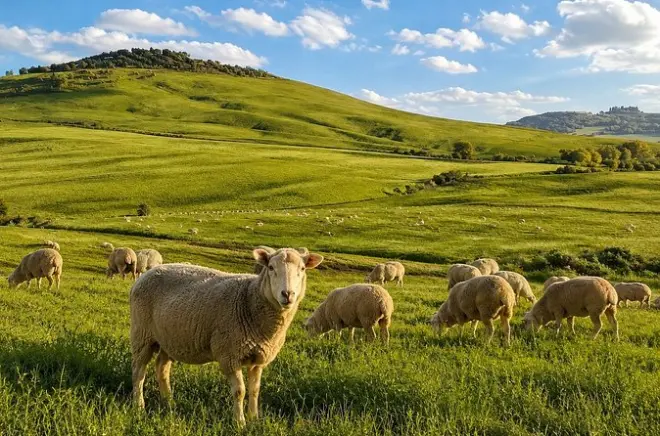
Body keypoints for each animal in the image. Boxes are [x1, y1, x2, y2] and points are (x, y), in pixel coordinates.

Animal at [129, 248, 323, 426]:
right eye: (270, 267)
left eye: (303, 268)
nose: (287, 294)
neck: (250, 301)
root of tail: (146, 274)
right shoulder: (229, 354)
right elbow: (240, 391)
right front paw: (240, 423)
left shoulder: (258, 359)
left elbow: (255, 390)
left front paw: (254, 418)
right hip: (142, 334)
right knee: (138, 372)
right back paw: (139, 406)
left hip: (168, 339)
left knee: (161, 368)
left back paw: (169, 402)